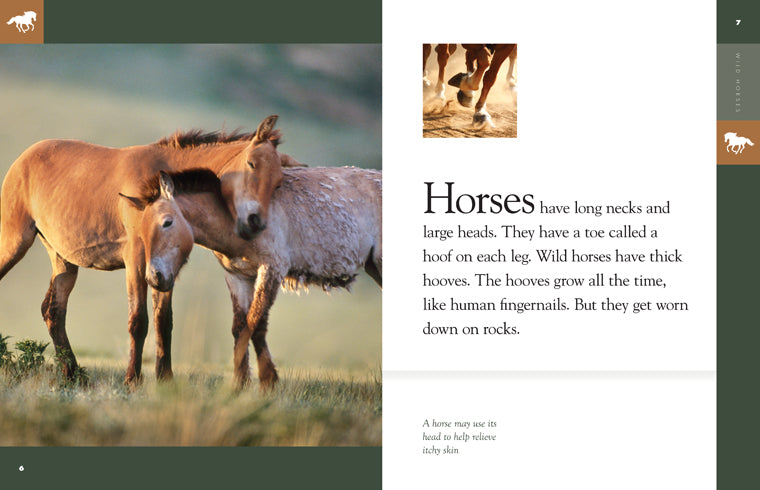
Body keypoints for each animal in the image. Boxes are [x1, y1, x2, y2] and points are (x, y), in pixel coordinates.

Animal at [0, 115, 304, 384]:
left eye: (278, 181)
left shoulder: (164, 267)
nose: (255, 222)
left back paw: (73, 375)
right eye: (252, 164)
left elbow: (163, 322)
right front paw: (132, 380)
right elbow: (139, 321)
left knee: (54, 311)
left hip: (63, 260)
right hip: (14, 243)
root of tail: (23, 159)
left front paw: (165, 378)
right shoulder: (136, 259)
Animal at [126, 122, 382, 389]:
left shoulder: (271, 270)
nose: (154, 277)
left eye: (167, 222)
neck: (234, 215)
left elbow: (256, 324)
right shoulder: (237, 276)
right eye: (141, 232)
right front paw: (241, 384)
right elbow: (241, 327)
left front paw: (268, 380)